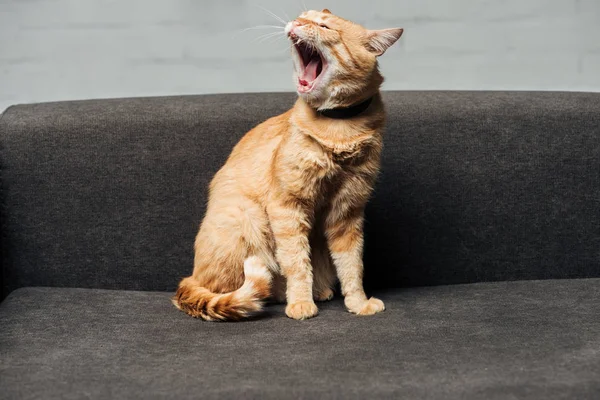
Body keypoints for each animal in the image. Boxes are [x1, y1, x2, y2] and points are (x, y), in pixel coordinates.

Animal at [173, 8, 404, 322]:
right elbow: (296, 263)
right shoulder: (287, 208)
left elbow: (352, 266)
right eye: (303, 15)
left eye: (323, 25)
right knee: (227, 289)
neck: (339, 130)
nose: (297, 22)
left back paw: (321, 291)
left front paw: (358, 303)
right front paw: (301, 304)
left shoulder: (347, 213)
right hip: (247, 217)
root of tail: (190, 278)